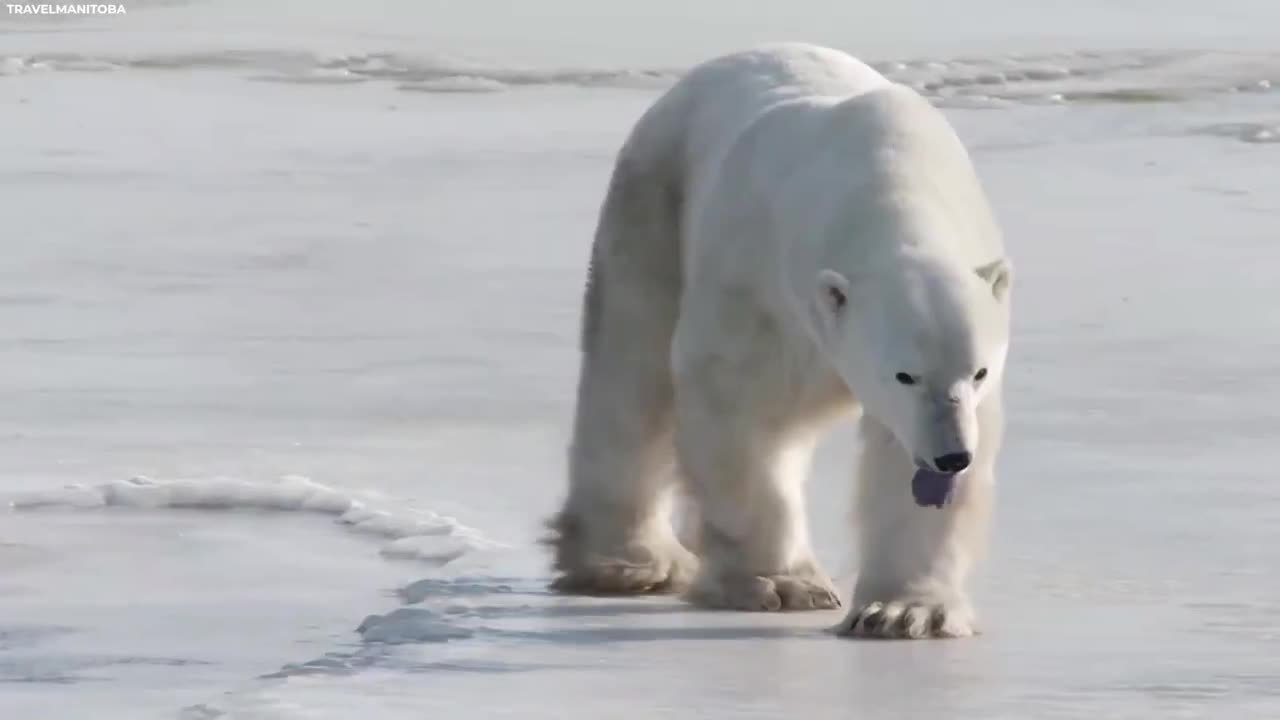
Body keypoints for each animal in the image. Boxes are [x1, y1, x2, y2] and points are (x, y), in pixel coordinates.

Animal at [545, 43, 1013, 638]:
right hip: (653, 203)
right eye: (904, 373)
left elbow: (905, 465)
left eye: (978, 371)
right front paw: (782, 582)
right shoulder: (761, 286)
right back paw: (630, 562)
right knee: (631, 372)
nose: (952, 456)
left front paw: (907, 611)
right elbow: (742, 411)